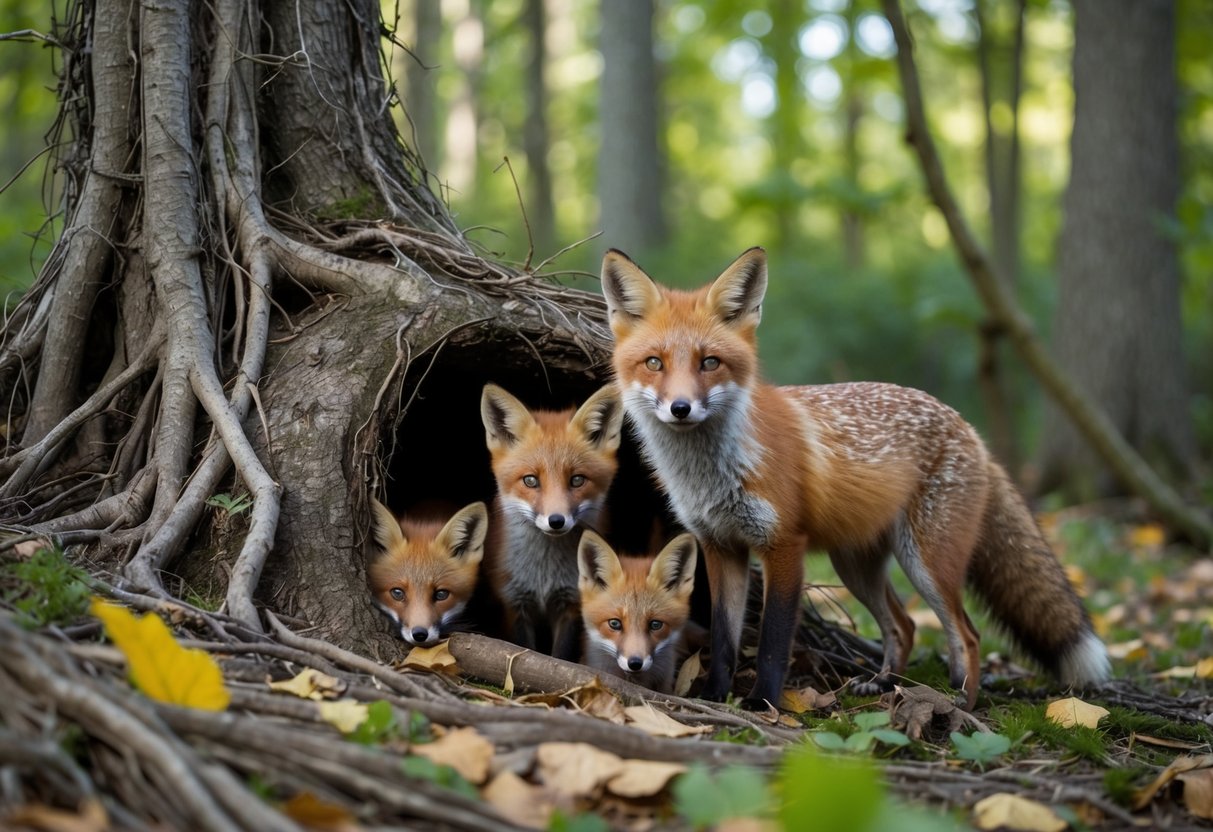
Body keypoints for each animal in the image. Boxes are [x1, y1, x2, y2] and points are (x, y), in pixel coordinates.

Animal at [481, 382, 624, 661]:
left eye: (577, 480)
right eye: (530, 480)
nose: (556, 521)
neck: (544, 575)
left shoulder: (570, 604)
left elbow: (560, 655)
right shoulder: (514, 602)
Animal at [601, 246, 1110, 710]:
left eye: (709, 362)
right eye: (654, 363)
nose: (680, 408)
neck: (711, 473)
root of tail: (971, 432)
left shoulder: (784, 545)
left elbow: (772, 645)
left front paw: (763, 703)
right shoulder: (720, 546)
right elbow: (725, 639)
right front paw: (713, 694)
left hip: (927, 562)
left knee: (967, 633)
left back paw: (962, 700)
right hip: (857, 566)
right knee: (905, 626)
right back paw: (886, 684)